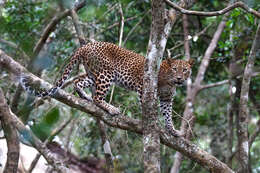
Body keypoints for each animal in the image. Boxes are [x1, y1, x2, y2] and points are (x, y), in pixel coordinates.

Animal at [20, 41, 194, 136]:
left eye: (185, 70)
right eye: (175, 69)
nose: (180, 78)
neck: (170, 82)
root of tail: (87, 45)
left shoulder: (166, 98)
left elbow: (168, 115)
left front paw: (173, 131)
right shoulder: (143, 86)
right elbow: (146, 106)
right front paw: (152, 122)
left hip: (93, 74)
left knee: (78, 81)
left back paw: (85, 97)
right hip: (106, 74)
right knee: (97, 97)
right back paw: (111, 108)